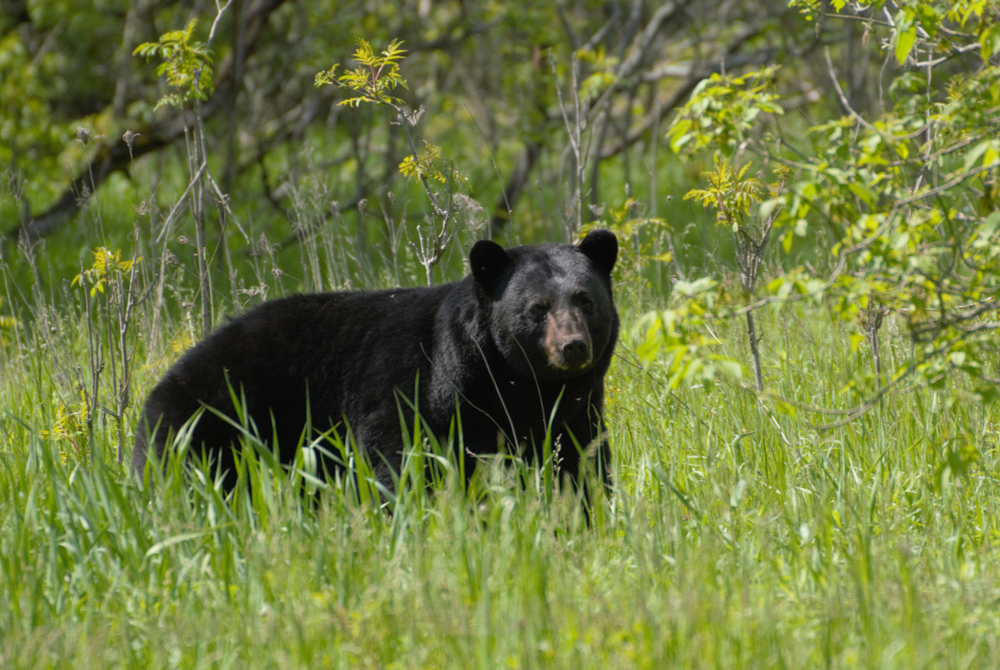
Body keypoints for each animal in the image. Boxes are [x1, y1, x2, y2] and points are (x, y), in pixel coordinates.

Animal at [132, 229, 619, 496]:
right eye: (537, 308)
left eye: (585, 300)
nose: (573, 346)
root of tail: (156, 393)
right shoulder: (411, 393)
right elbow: (400, 462)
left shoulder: (573, 411)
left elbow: (581, 464)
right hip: (205, 435)